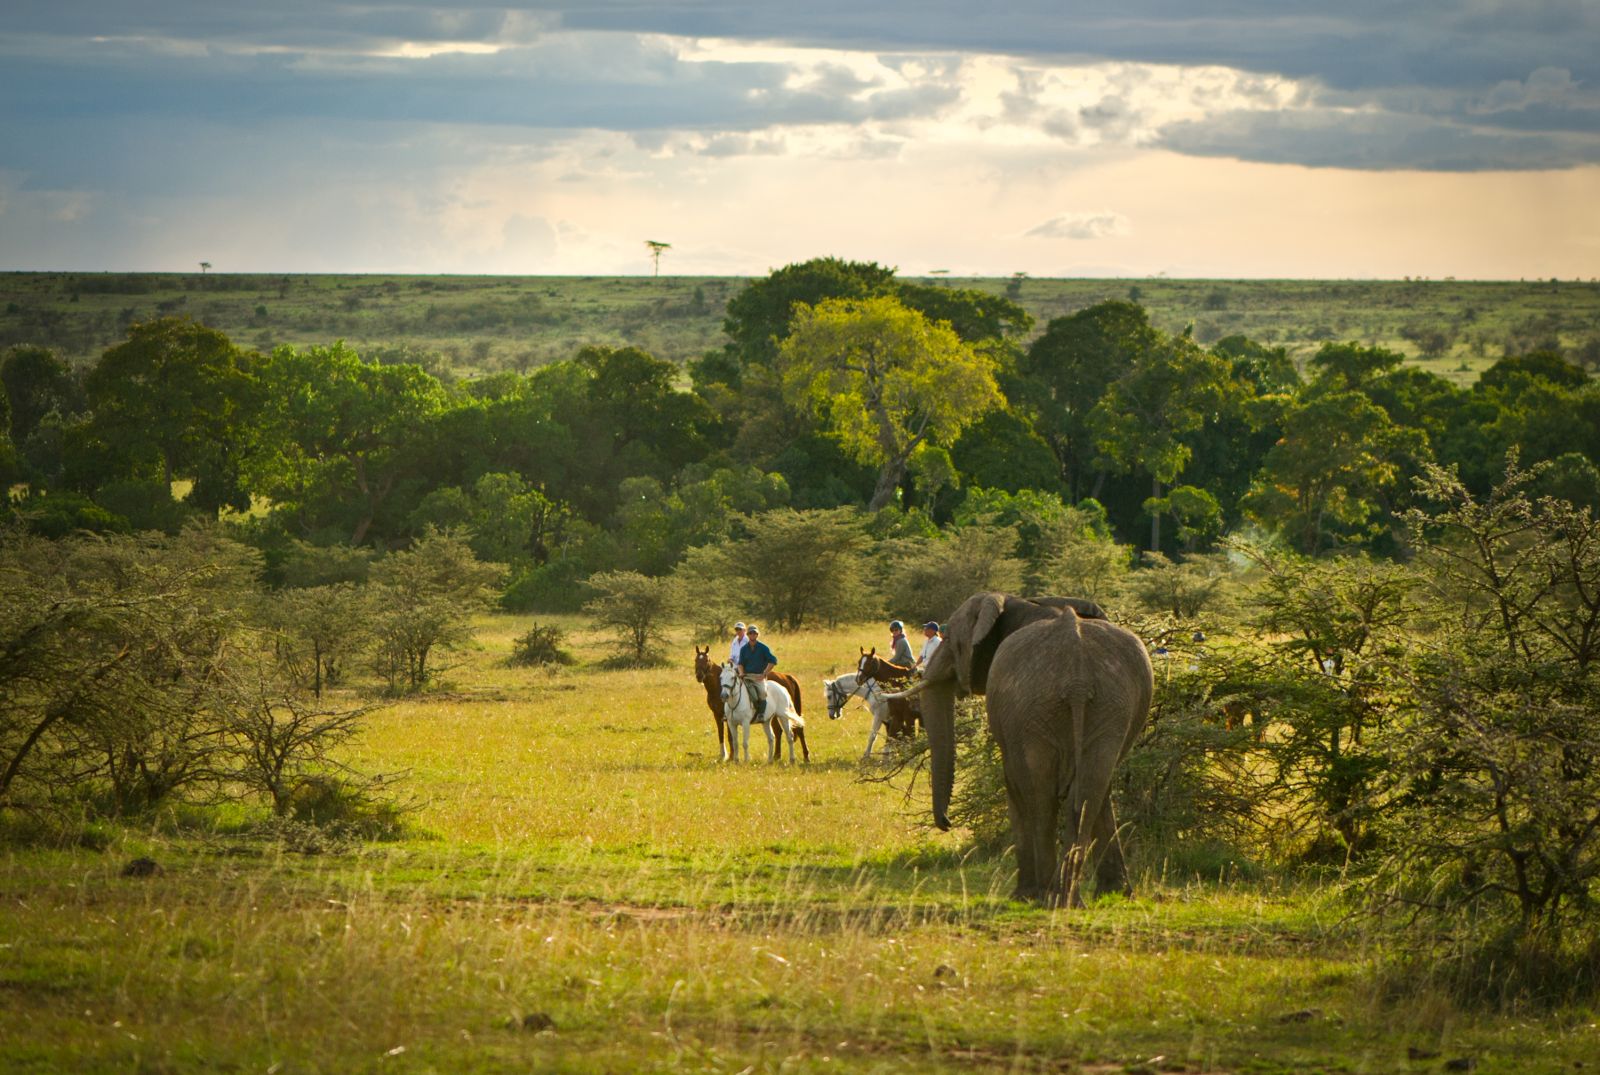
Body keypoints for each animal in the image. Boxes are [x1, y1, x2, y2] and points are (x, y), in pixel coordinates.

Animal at [896, 591, 1158, 902]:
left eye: (950, 640)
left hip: (1036, 709)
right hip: (1110, 705)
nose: (946, 823)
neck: (1017, 602)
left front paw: (1024, 895)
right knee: (1086, 792)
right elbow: (1102, 793)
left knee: (1039, 792)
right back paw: (1067, 899)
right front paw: (1117, 893)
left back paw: (1044, 896)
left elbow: (1013, 782)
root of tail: (1078, 679)